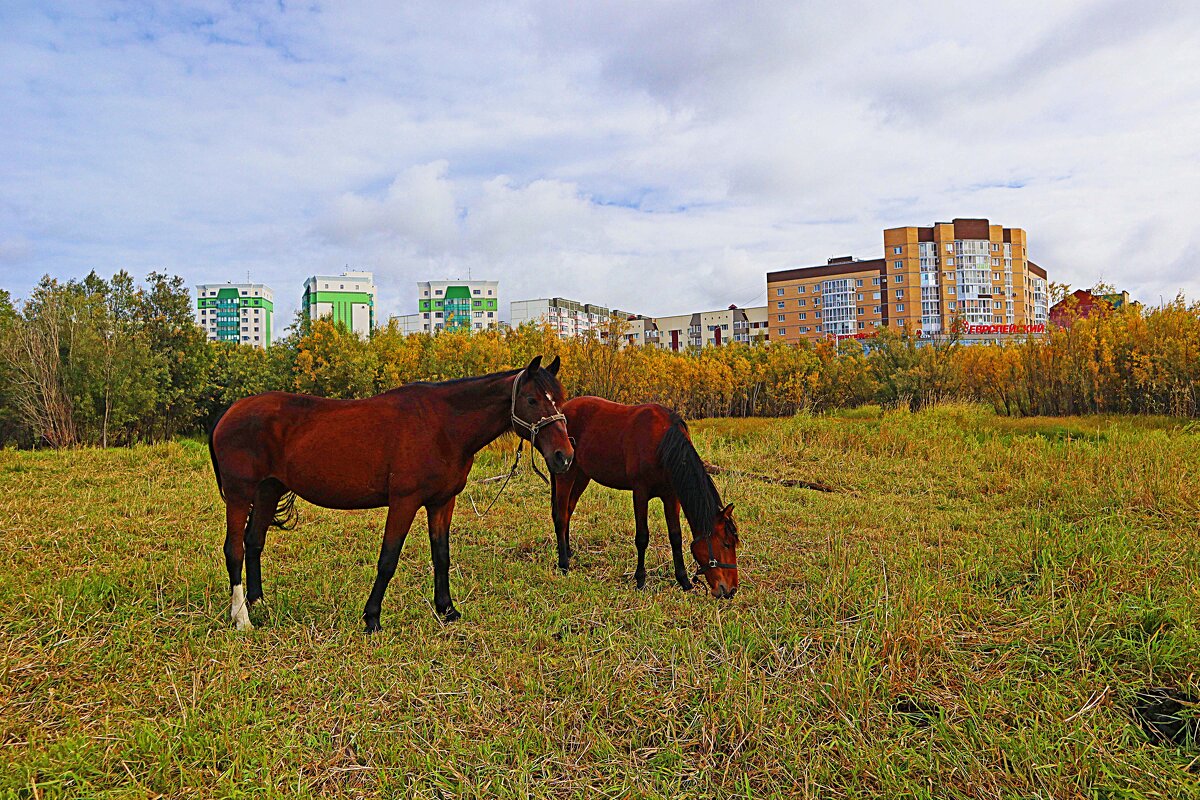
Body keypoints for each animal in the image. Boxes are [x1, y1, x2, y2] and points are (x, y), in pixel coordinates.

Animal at [208, 357, 573, 633]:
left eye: (561, 399)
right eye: (532, 400)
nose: (564, 457)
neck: (442, 425)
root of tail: (229, 413)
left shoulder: (442, 502)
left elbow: (442, 555)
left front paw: (447, 610)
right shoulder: (404, 502)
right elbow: (388, 559)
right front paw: (372, 618)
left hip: (268, 490)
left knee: (254, 542)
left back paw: (257, 602)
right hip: (240, 494)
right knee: (234, 550)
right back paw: (241, 618)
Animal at [554, 398, 739, 597]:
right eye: (726, 544)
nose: (731, 590)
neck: (663, 445)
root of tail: (563, 409)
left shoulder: (671, 497)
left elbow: (675, 536)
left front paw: (684, 581)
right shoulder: (640, 493)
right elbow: (642, 537)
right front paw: (641, 580)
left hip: (582, 475)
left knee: (568, 510)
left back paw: (568, 551)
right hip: (566, 473)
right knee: (561, 516)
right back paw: (563, 564)